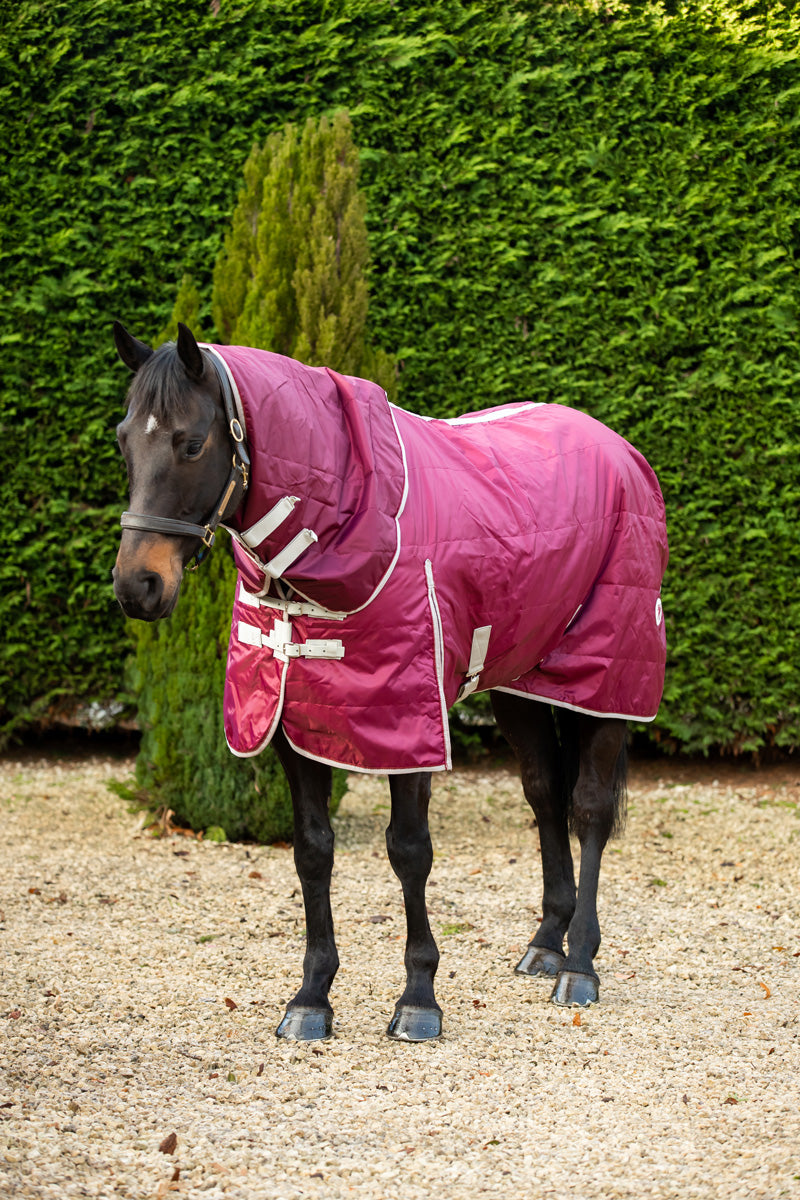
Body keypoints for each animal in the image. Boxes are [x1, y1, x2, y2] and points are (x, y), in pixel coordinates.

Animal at [109, 324, 666, 1046]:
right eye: (124, 439)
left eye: (191, 442)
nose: (137, 586)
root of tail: (619, 450)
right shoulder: (291, 721)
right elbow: (312, 852)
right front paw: (311, 997)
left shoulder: (411, 725)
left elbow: (409, 852)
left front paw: (419, 998)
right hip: (519, 685)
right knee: (545, 796)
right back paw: (546, 942)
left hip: (606, 682)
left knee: (590, 808)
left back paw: (579, 966)